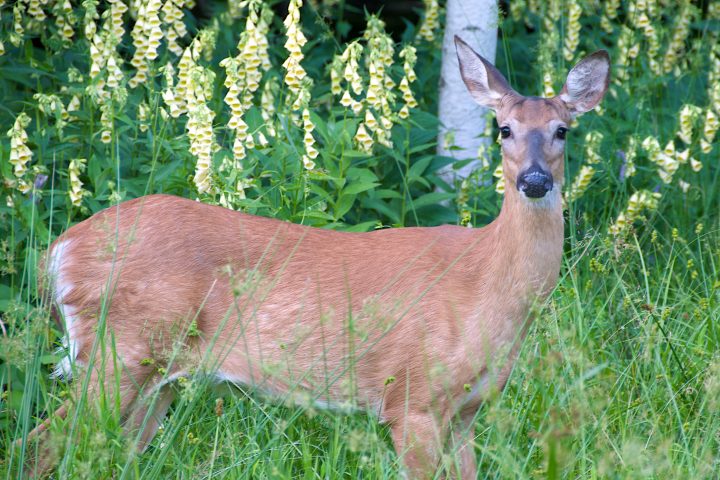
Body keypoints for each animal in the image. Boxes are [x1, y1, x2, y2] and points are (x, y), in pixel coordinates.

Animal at [21, 37, 609, 478]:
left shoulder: (467, 411)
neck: (485, 286)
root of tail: (60, 250)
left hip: (156, 375)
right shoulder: (411, 398)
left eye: (562, 130)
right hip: (118, 351)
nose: (535, 180)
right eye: (504, 129)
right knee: (40, 444)